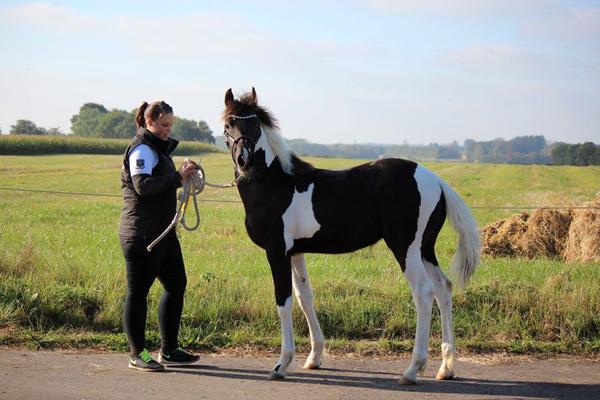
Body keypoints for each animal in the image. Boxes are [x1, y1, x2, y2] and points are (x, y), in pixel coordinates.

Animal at [223, 88, 480, 384]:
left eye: (255, 123)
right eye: (229, 122)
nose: (244, 160)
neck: (274, 184)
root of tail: (436, 181)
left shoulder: (276, 251)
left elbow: (283, 300)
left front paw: (281, 364)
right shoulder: (295, 252)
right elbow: (304, 298)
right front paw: (314, 358)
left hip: (405, 249)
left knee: (424, 293)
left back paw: (412, 370)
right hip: (425, 250)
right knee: (443, 289)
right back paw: (446, 368)